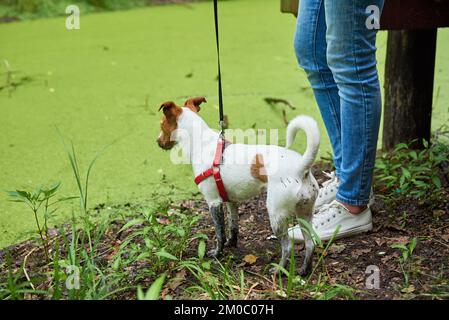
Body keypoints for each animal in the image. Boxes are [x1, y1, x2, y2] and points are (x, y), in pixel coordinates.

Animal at [156, 96, 320, 274]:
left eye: (161, 124)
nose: (157, 141)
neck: (203, 144)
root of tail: (300, 168)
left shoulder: (214, 203)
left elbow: (219, 232)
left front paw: (217, 252)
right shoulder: (231, 201)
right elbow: (233, 226)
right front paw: (231, 244)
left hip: (277, 214)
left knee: (288, 246)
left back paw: (278, 270)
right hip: (304, 213)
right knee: (310, 243)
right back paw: (304, 270)